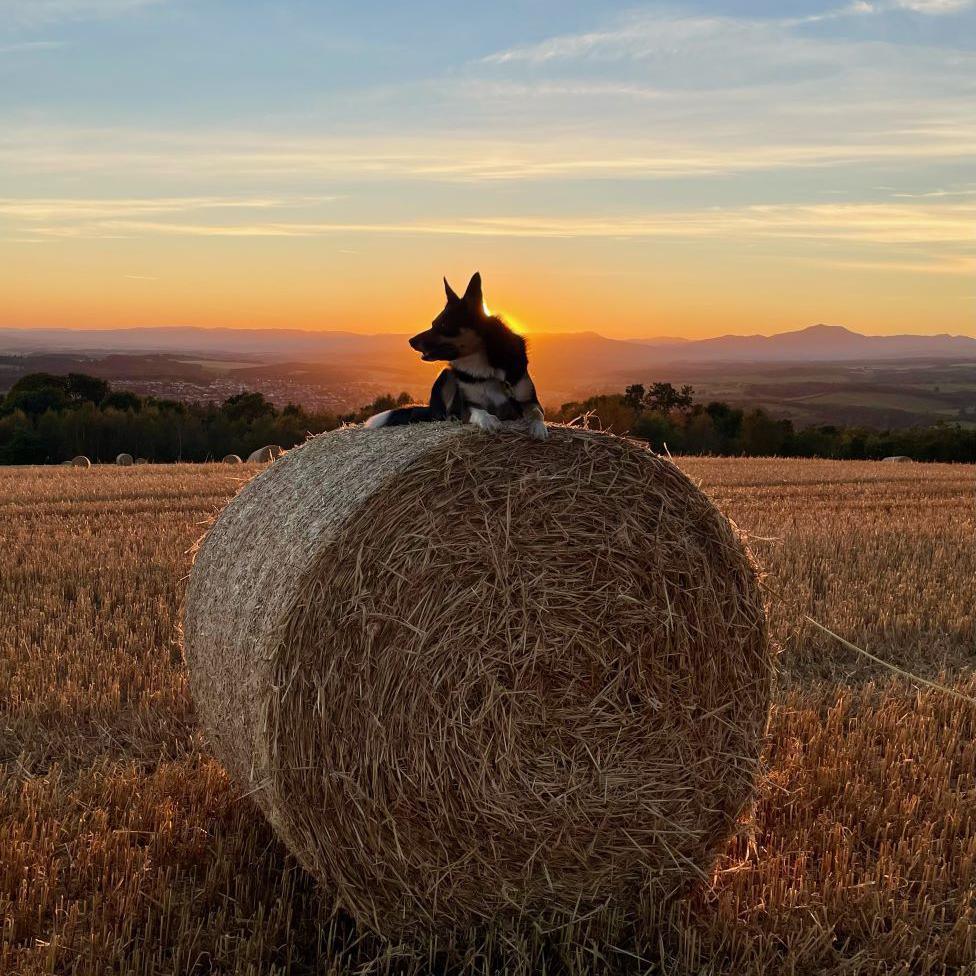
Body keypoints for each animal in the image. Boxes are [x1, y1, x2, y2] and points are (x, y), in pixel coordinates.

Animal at [366, 274, 548, 442]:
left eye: (442, 325)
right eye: (433, 323)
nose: (411, 341)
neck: (483, 365)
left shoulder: (529, 400)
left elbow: (536, 413)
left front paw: (539, 428)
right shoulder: (468, 407)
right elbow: (480, 412)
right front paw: (489, 420)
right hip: (446, 375)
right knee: (442, 413)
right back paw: (451, 417)